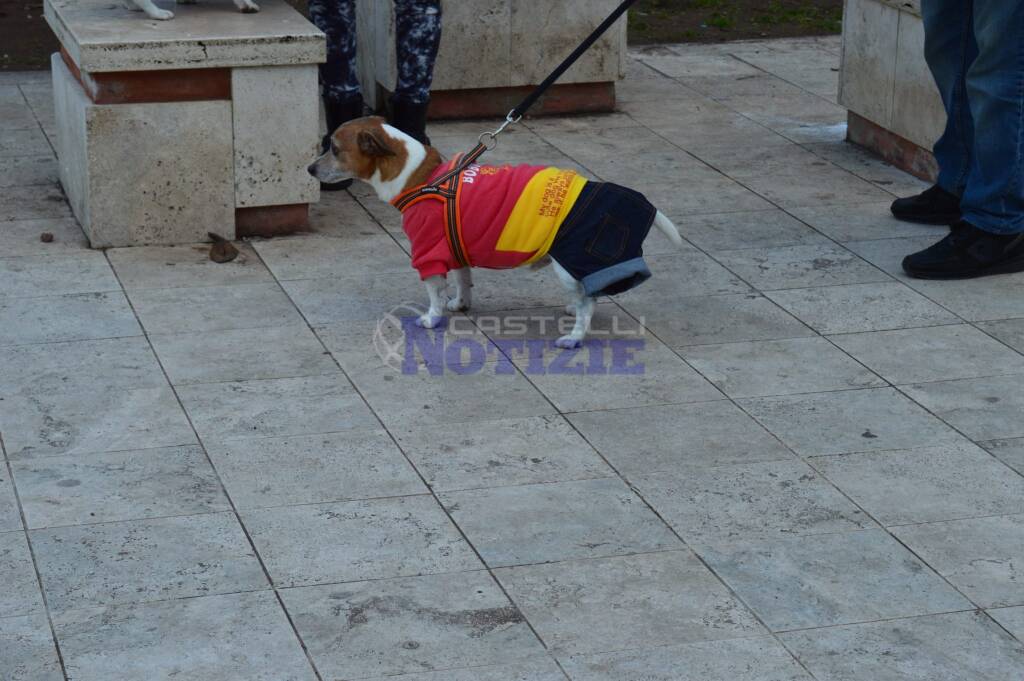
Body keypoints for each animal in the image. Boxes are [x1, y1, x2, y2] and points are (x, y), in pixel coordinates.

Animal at [307, 116, 684, 348]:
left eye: (334, 149)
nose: (309, 168)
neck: (422, 177)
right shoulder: (453, 247)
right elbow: (463, 279)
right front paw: (460, 303)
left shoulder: (428, 254)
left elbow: (434, 293)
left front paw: (432, 318)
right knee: (589, 292)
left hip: (568, 262)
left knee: (588, 303)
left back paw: (575, 337)